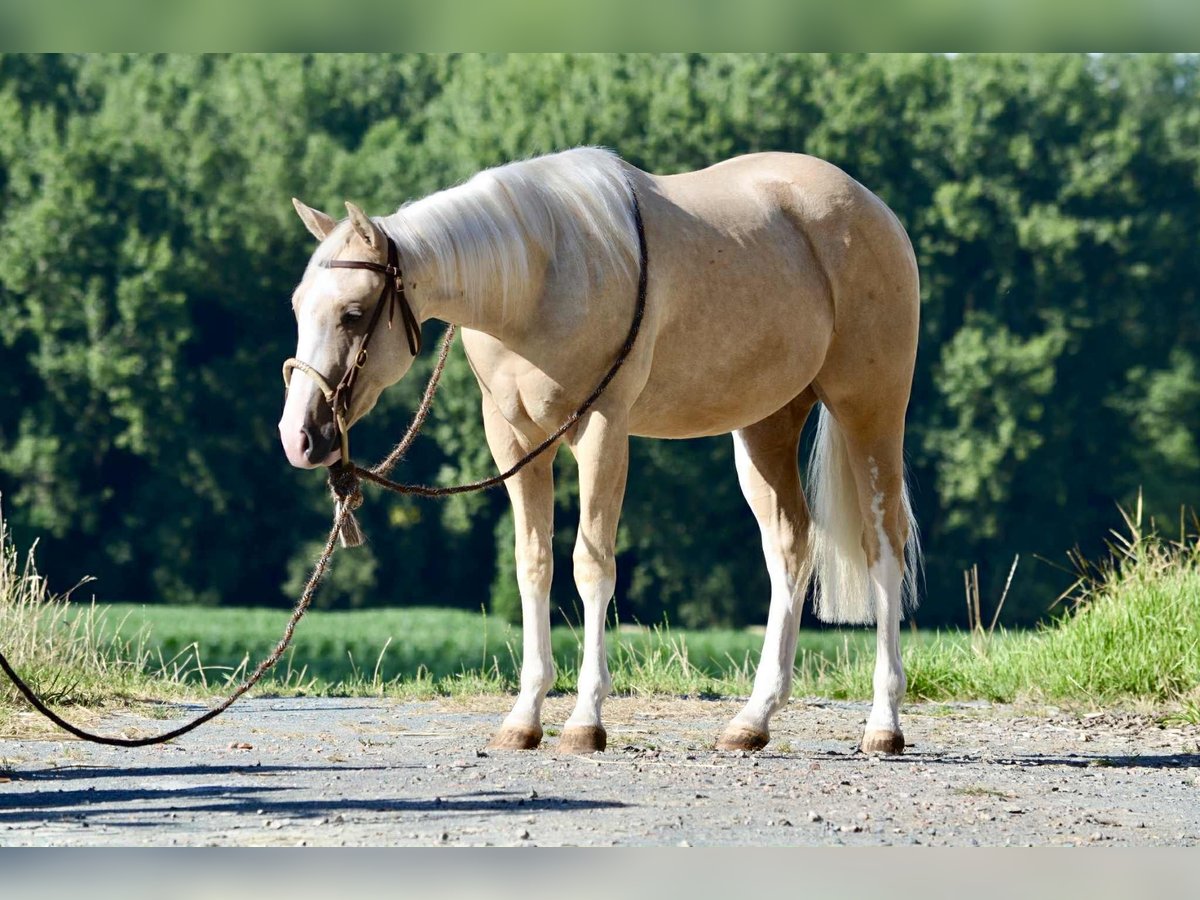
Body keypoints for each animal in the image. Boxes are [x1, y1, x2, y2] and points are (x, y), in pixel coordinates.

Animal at [279, 147, 920, 755]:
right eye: (297, 305)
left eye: (353, 313)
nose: (298, 436)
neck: (536, 278)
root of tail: (872, 208)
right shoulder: (516, 442)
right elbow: (533, 565)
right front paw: (523, 720)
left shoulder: (602, 431)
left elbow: (591, 565)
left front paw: (585, 721)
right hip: (766, 425)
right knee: (789, 548)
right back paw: (752, 722)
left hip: (870, 410)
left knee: (882, 544)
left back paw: (883, 726)